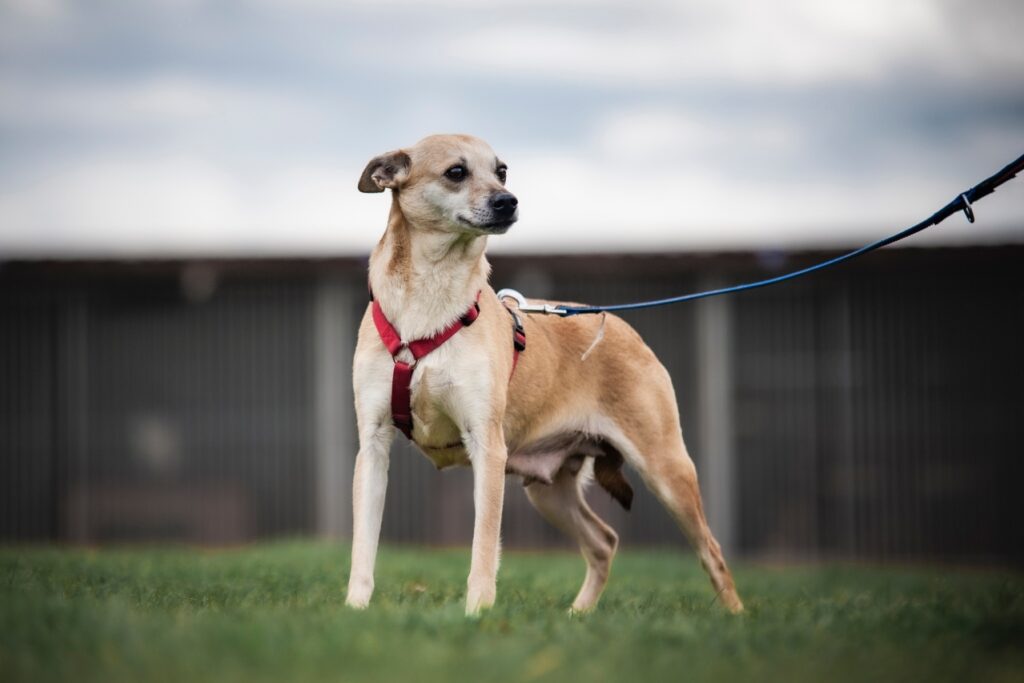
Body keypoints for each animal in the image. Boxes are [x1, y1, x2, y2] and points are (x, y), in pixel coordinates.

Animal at [346, 133, 745, 614]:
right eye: (456, 172)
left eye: (501, 171)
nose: (508, 201)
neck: (429, 298)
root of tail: (622, 327)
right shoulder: (374, 444)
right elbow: (364, 546)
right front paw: (355, 609)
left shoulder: (487, 447)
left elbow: (484, 547)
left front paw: (477, 614)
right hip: (549, 491)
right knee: (604, 541)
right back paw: (578, 615)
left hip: (666, 469)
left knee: (711, 550)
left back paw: (736, 618)